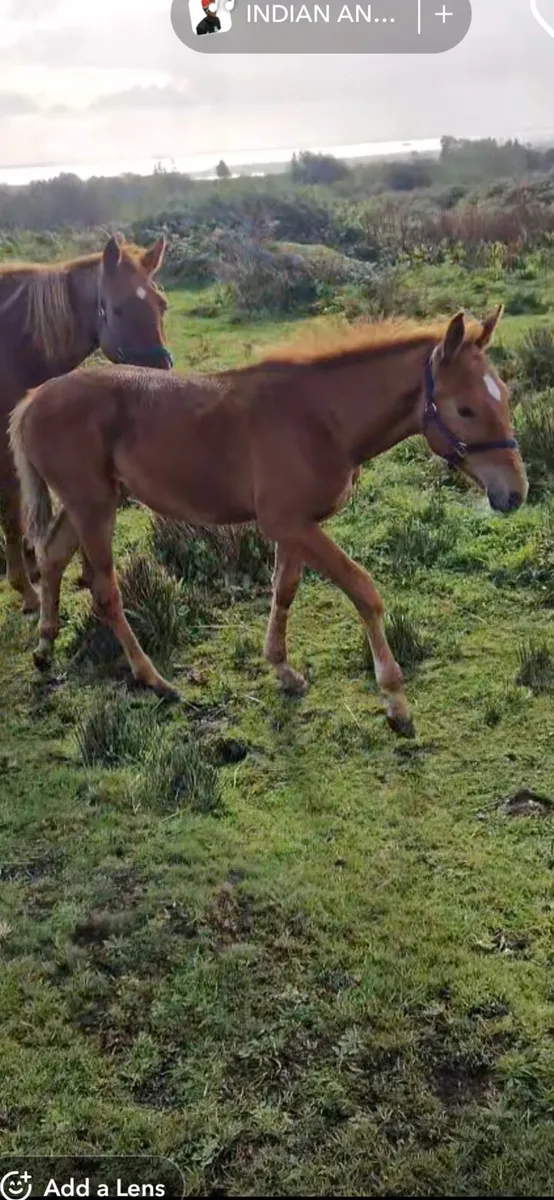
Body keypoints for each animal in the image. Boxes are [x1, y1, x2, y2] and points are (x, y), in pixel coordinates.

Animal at [0, 231, 172, 614]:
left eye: (162, 304)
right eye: (117, 308)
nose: (160, 375)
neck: (10, 345)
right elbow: (12, 512)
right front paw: (27, 591)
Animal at [10, 306, 527, 738]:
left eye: (504, 396)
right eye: (465, 409)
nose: (515, 493)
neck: (320, 418)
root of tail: (33, 399)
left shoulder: (294, 526)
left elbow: (285, 589)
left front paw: (283, 669)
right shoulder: (289, 523)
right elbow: (363, 590)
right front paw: (396, 703)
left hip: (90, 502)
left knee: (53, 557)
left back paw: (45, 646)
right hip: (93, 505)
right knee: (104, 590)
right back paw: (154, 679)